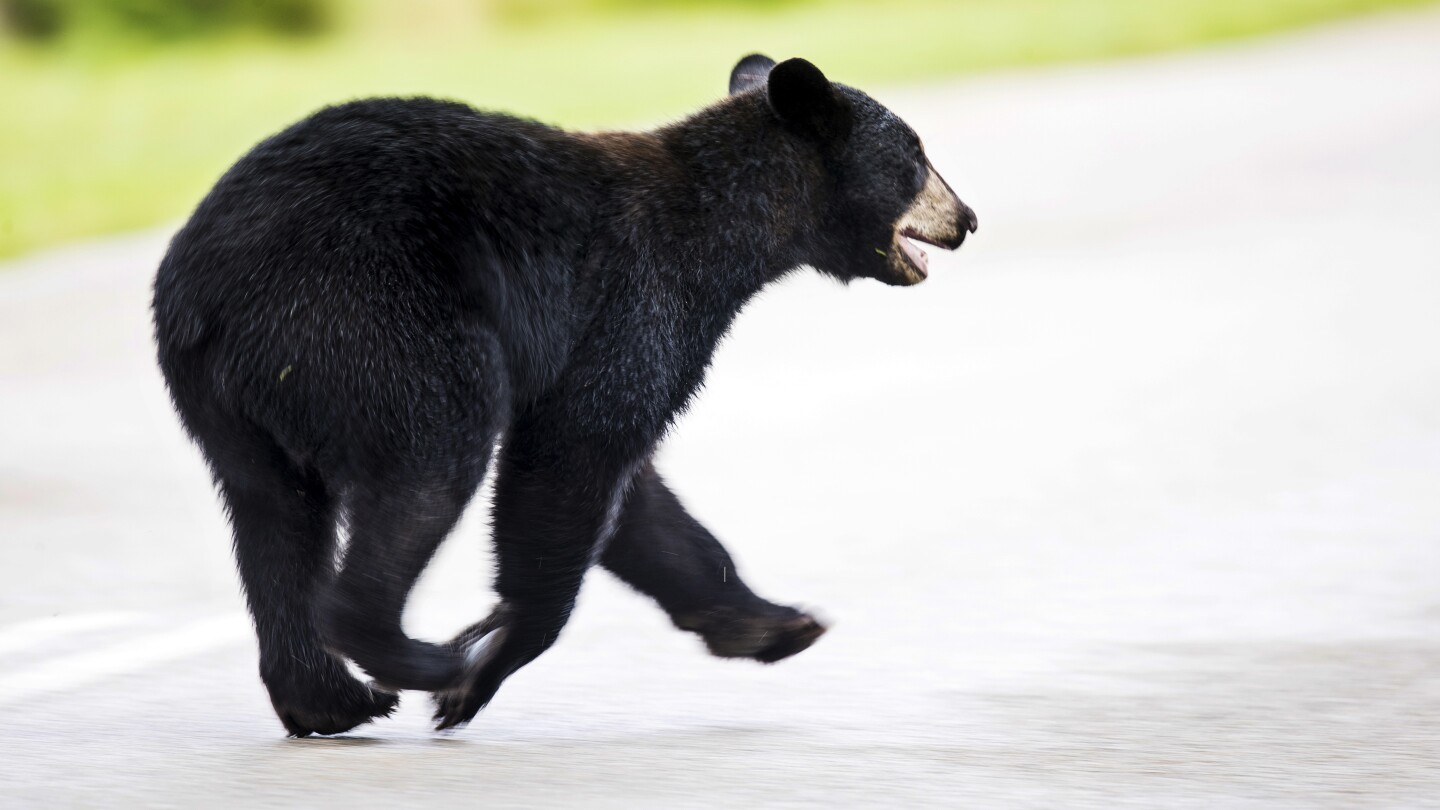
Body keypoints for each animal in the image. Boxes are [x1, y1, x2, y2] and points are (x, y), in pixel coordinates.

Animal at [151, 49, 973, 732]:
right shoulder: (638, 301)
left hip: (234, 400)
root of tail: (202, 285)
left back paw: (326, 700)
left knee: (274, 516)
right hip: (369, 323)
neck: (726, 229)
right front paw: (482, 666)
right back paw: (417, 658)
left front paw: (773, 622)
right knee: (429, 462)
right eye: (916, 153)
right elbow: (572, 458)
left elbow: (640, 502)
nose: (966, 218)